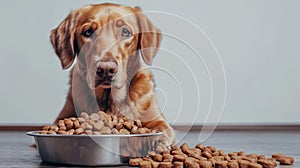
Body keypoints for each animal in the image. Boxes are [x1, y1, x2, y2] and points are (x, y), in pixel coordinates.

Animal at [50, 2, 175, 144]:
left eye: (125, 32)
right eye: (88, 32)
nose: (106, 69)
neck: (109, 99)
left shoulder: (159, 120)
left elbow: (162, 130)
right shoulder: (62, 117)